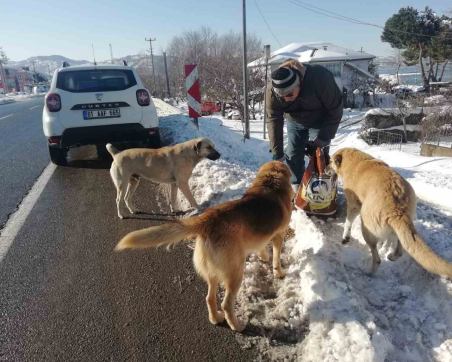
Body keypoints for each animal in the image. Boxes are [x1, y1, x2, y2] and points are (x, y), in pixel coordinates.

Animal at [115, 161, 294, 330]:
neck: (270, 182)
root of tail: (207, 220)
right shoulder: (279, 235)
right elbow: (276, 258)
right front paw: (278, 272)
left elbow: (262, 248)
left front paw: (264, 257)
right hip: (235, 272)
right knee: (226, 304)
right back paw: (237, 326)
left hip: (212, 271)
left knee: (209, 298)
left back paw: (215, 318)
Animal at [328, 147, 452, 278]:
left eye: (330, 161)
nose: (325, 167)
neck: (353, 161)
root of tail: (397, 210)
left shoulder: (354, 205)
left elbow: (348, 222)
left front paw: (345, 237)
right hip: (403, 225)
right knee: (400, 248)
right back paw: (392, 255)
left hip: (366, 227)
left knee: (377, 258)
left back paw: (369, 273)